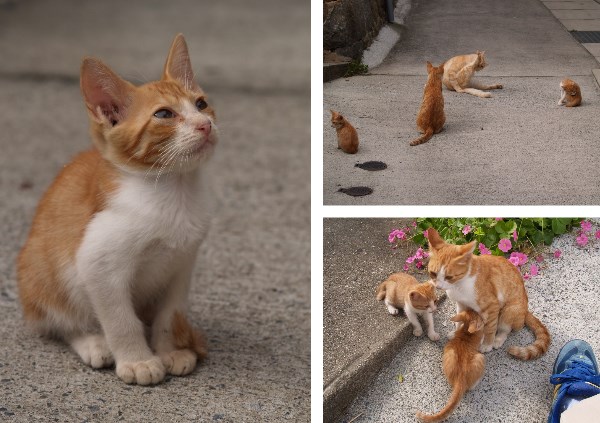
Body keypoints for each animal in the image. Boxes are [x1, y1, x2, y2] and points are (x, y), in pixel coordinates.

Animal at [15, 34, 218, 386]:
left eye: (201, 104)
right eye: (164, 114)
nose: (205, 125)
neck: (173, 191)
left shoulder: (182, 263)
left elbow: (169, 313)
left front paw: (169, 350)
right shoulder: (98, 263)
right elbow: (121, 320)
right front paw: (138, 361)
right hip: (42, 273)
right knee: (61, 320)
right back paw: (93, 342)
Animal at [426, 230, 548, 360]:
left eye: (449, 277)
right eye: (433, 273)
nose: (438, 286)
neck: (459, 285)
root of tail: (526, 310)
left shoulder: (492, 306)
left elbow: (490, 328)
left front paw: (487, 344)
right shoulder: (461, 304)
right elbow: (459, 321)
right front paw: (456, 333)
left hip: (509, 310)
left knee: (506, 329)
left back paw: (497, 340)